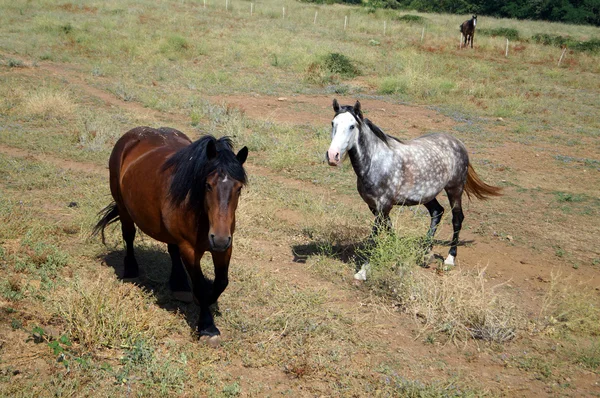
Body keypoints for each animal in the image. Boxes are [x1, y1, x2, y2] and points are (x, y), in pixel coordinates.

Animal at [92, 127, 247, 346]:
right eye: (208, 185)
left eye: (238, 188)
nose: (218, 238)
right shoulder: (190, 249)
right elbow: (200, 286)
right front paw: (207, 327)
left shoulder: (225, 248)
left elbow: (221, 282)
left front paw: (206, 301)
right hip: (123, 206)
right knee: (129, 236)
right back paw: (131, 269)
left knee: (172, 249)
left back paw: (179, 284)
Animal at [326, 99, 500, 280]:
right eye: (333, 123)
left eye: (352, 126)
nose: (332, 156)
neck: (376, 161)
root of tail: (458, 142)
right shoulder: (375, 207)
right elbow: (389, 229)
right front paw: (396, 256)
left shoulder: (383, 206)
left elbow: (374, 235)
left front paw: (363, 271)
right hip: (427, 195)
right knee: (437, 212)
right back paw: (426, 254)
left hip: (454, 189)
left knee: (457, 218)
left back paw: (449, 259)